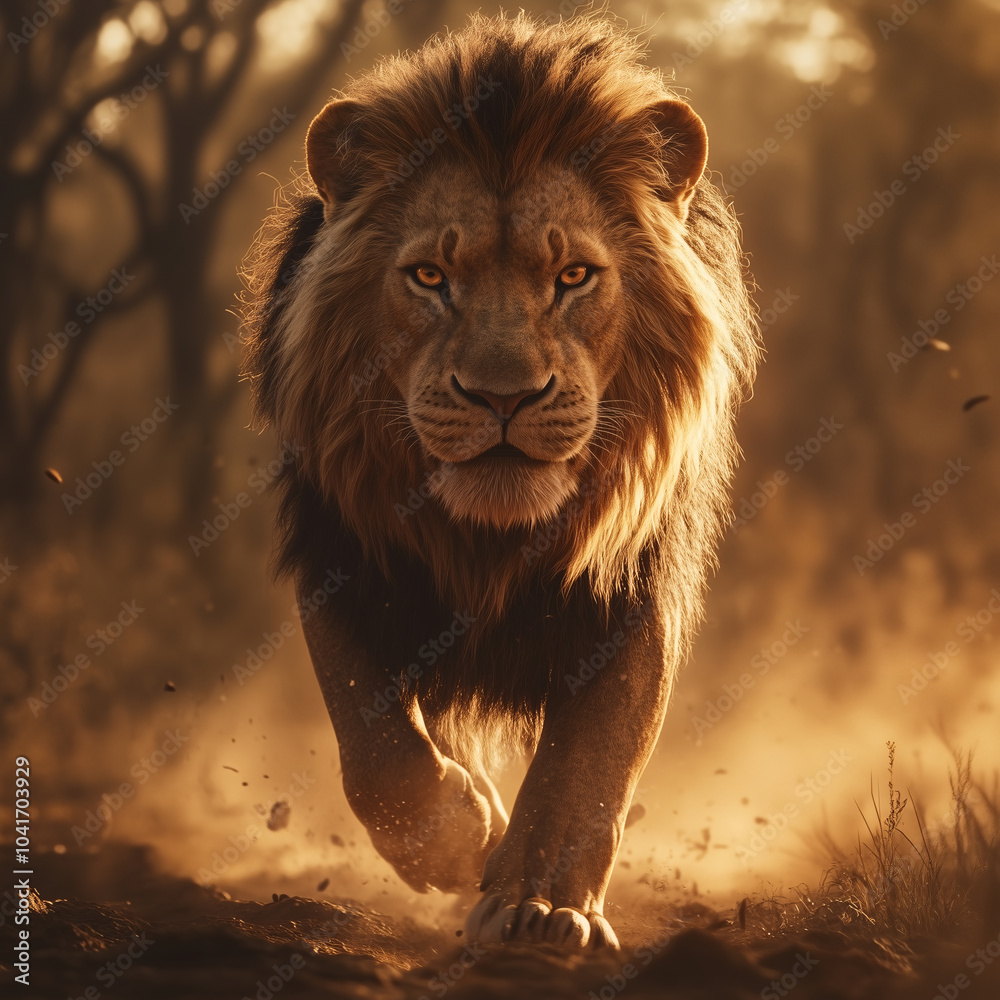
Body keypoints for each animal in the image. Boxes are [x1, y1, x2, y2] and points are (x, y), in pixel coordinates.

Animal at [241, 12, 759, 949]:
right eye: (430, 277)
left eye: (573, 276)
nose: (505, 395)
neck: (492, 538)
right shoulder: (343, 552)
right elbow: (370, 740)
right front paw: (455, 835)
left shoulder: (629, 586)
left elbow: (589, 762)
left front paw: (541, 905)